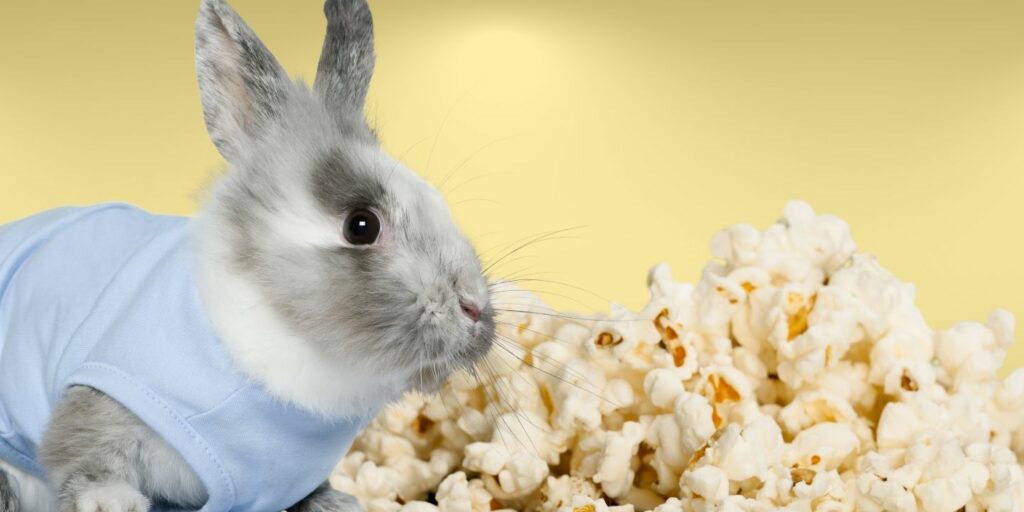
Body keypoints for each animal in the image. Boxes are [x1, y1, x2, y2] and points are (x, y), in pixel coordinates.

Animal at [0, 0, 496, 510]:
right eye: (362, 225)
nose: (474, 308)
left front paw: (337, 502)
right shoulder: (102, 397)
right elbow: (76, 451)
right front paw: (114, 503)